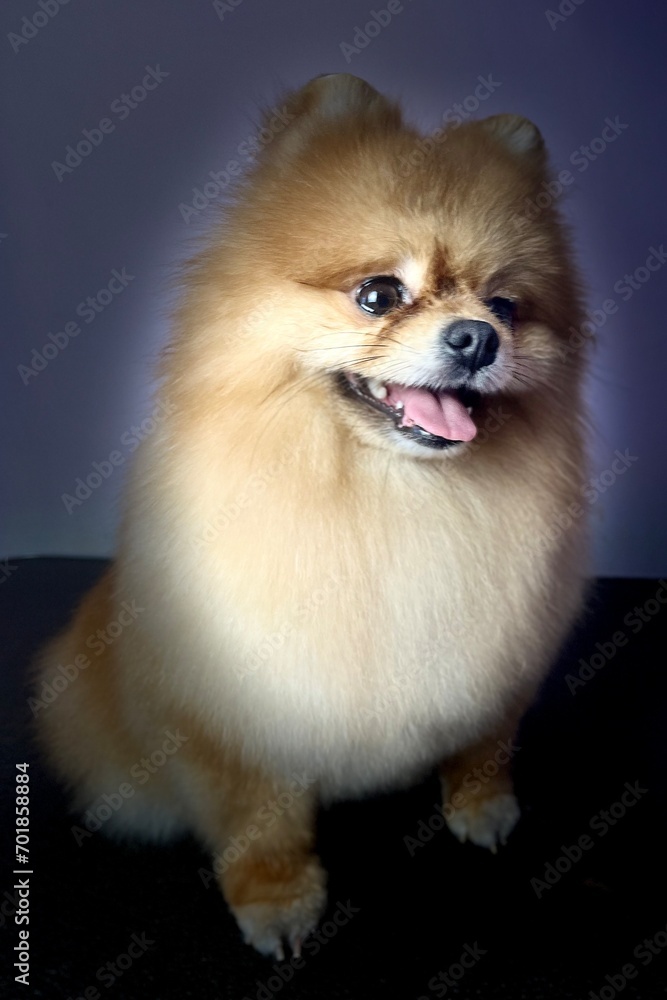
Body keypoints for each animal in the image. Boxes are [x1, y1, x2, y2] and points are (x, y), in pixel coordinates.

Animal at [35, 76, 588, 952]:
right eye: (378, 295)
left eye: (504, 306)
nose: (476, 337)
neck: (393, 495)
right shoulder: (234, 713)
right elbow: (263, 817)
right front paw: (276, 900)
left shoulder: (503, 655)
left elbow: (483, 742)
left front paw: (483, 806)